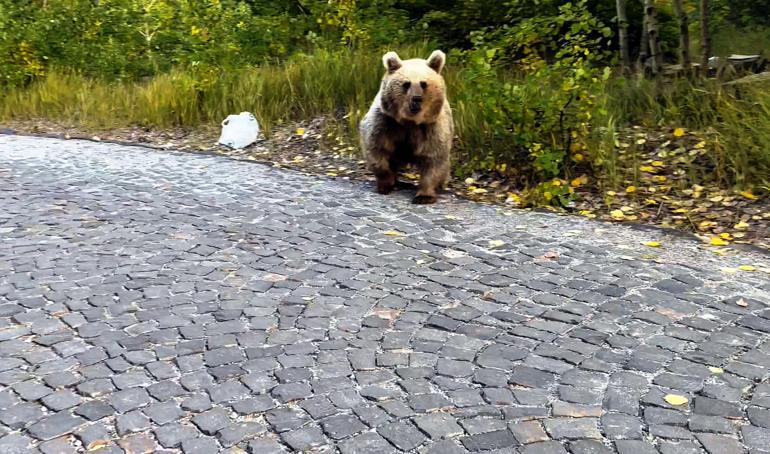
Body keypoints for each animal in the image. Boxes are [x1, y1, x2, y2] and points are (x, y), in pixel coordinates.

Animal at [358, 49, 450, 204]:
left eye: (424, 84)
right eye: (406, 84)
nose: (416, 98)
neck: (409, 121)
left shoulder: (431, 128)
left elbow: (433, 160)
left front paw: (424, 196)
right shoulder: (385, 122)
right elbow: (377, 151)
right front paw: (386, 185)